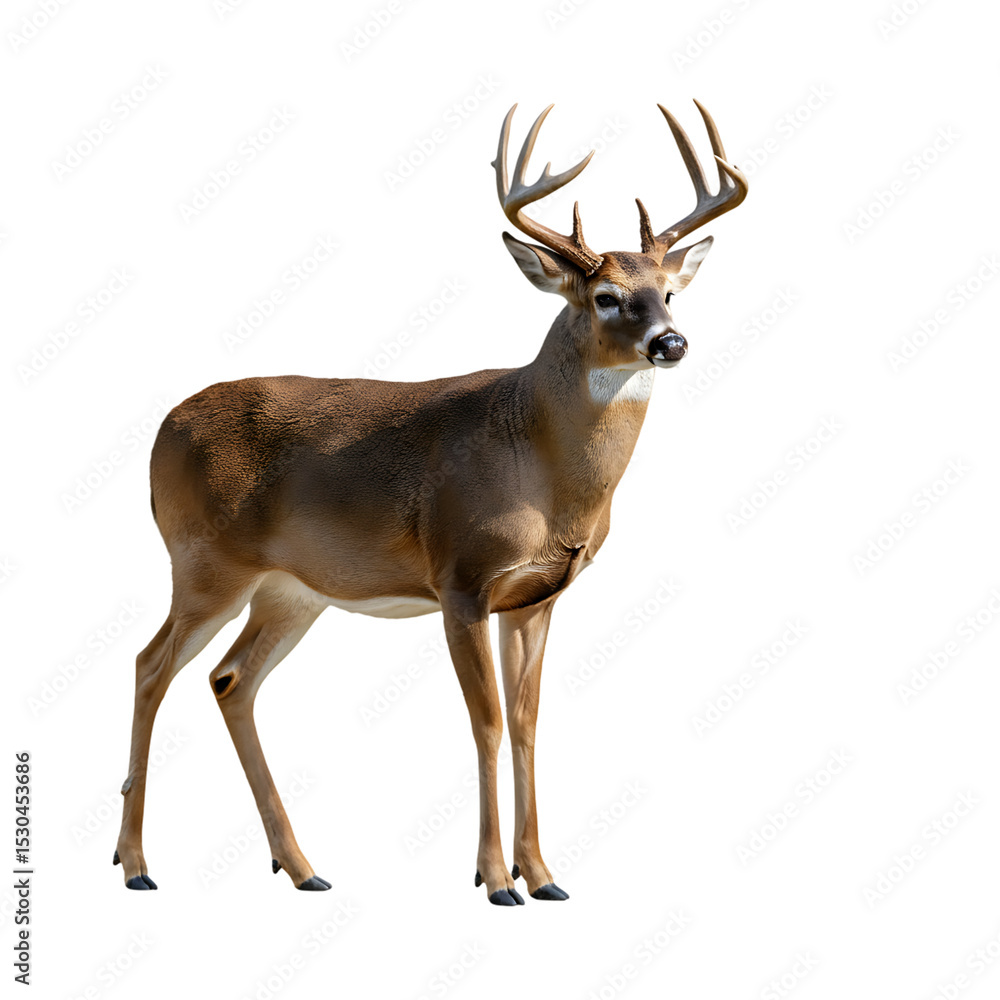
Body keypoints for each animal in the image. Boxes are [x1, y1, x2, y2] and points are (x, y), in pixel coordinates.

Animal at [113, 100, 747, 904]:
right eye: (606, 297)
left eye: (669, 292)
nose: (671, 342)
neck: (545, 471)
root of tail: (162, 428)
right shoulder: (461, 579)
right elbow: (486, 723)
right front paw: (495, 879)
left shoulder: (537, 596)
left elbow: (527, 722)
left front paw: (544, 875)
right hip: (204, 564)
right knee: (149, 664)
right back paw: (136, 864)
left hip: (291, 591)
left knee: (229, 680)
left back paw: (302, 866)